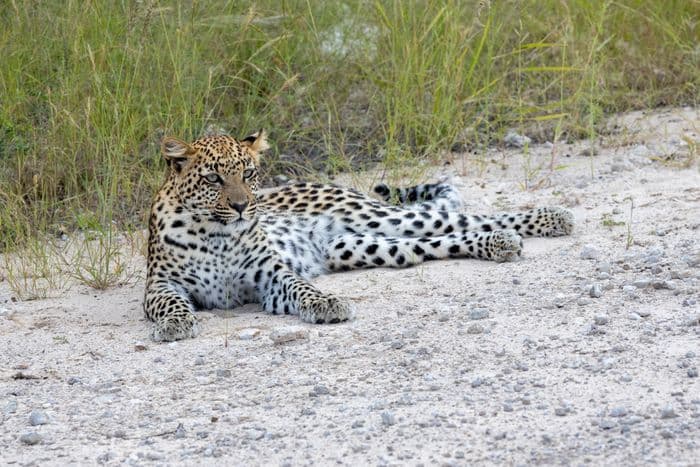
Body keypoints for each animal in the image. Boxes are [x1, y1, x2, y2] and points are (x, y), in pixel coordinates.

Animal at [144, 130, 576, 342]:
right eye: (213, 179)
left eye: (248, 174)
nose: (240, 206)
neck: (217, 233)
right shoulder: (159, 286)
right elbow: (171, 304)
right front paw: (175, 325)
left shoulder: (271, 274)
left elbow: (302, 287)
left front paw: (326, 303)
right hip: (357, 244)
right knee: (427, 244)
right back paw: (502, 242)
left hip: (376, 215)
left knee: (462, 216)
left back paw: (549, 218)